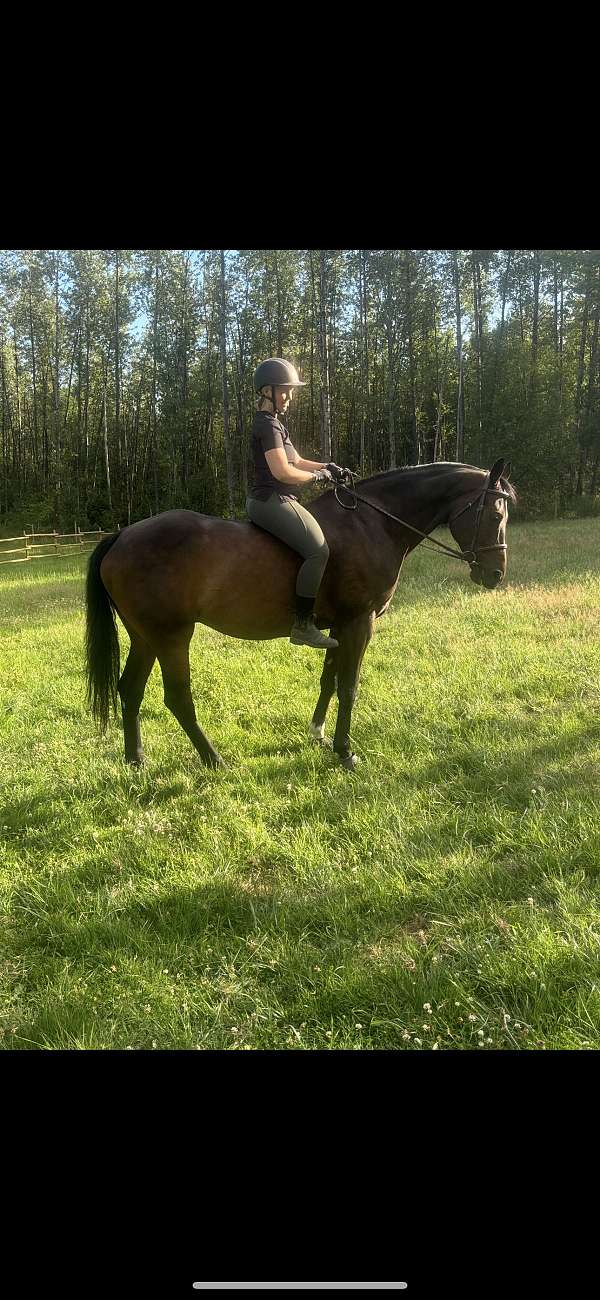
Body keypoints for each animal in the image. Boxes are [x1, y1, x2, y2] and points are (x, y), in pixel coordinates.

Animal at [85, 457, 515, 773]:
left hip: (145, 636)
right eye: (495, 514)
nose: (495, 574)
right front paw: (345, 753)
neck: (371, 524)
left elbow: (329, 682)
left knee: (130, 689)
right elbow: (349, 687)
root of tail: (122, 536)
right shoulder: (359, 623)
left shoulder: (336, 627)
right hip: (173, 636)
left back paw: (136, 761)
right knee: (177, 697)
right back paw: (214, 760)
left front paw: (318, 735)